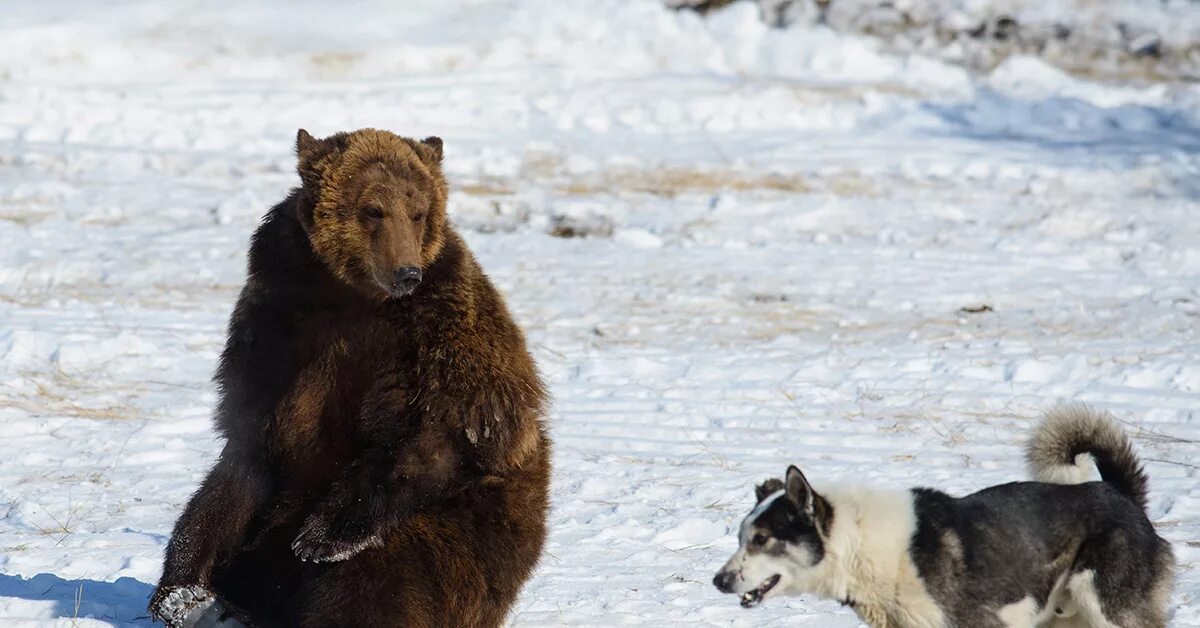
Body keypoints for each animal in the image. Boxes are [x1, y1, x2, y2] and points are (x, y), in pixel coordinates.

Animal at [146, 129, 552, 628]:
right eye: (373, 209)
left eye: (418, 211)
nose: (407, 273)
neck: (351, 297)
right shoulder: (277, 329)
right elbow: (247, 450)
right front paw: (181, 589)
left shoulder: (438, 335)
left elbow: (447, 430)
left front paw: (322, 537)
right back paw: (201, 601)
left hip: (471, 536)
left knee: (380, 574)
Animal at [710, 405, 1171, 624]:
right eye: (740, 537)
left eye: (762, 539)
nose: (719, 581)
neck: (863, 547)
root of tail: (1119, 493)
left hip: (1109, 611)